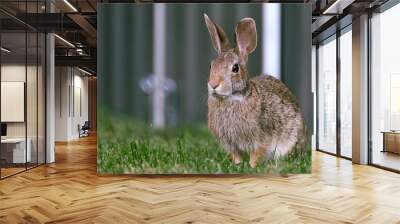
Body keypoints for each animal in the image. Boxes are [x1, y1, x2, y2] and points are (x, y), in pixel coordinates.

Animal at [205, 14, 304, 167]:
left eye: (235, 68)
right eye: (211, 66)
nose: (213, 84)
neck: (233, 97)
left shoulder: (262, 139)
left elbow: (256, 154)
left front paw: (251, 166)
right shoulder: (231, 144)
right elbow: (236, 155)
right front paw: (238, 165)